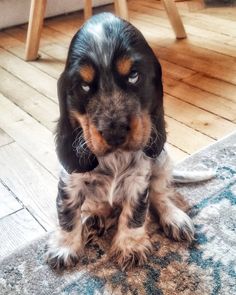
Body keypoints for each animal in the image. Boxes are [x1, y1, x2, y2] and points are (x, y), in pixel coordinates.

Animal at [45, 12, 194, 272]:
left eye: (134, 76)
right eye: (84, 86)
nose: (114, 133)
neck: (114, 158)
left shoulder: (139, 179)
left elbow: (135, 212)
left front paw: (130, 245)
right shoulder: (70, 181)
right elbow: (68, 213)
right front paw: (65, 246)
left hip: (162, 161)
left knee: (160, 194)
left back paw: (174, 218)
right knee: (98, 205)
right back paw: (92, 220)